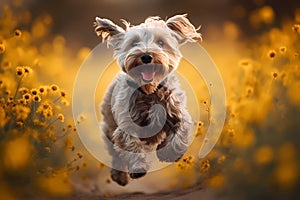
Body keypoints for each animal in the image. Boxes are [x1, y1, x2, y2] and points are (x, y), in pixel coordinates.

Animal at [94, 14, 202, 186]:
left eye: (161, 42)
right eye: (133, 43)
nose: (146, 56)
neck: (150, 91)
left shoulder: (177, 112)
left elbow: (180, 132)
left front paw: (168, 153)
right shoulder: (126, 124)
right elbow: (131, 143)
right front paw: (138, 167)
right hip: (108, 126)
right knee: (115, 154)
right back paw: (119, 176)